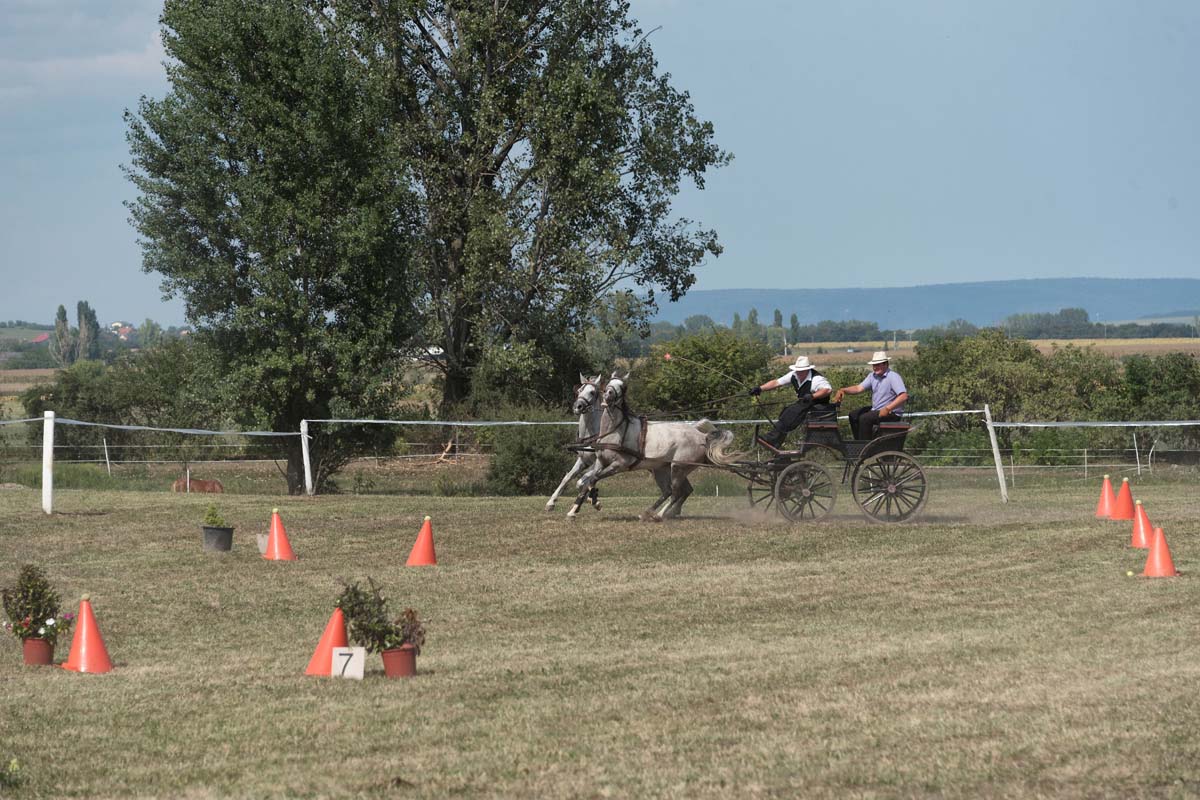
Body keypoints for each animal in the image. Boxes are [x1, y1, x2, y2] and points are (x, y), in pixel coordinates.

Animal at [549, 376, 604, 513]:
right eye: (579, 391)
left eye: (592, 392)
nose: (577, 407)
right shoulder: (583, 460)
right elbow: (567, 478)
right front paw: (551, 502)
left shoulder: (598, 463)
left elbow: (581, 482)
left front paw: (593, 500)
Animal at [566, 371, 744, 522]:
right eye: (609, 383)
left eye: (623, 387)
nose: (608, 395)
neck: (614, 430)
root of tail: (701, 436)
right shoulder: (600, 462)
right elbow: (587, 482)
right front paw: (574, 510)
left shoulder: (619, 465)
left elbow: (591, 479)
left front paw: (592, 502)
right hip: (662, 469)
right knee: (672, 491)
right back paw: (653, 513)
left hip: (678, 467)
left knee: (675, 492)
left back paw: (659, 514)